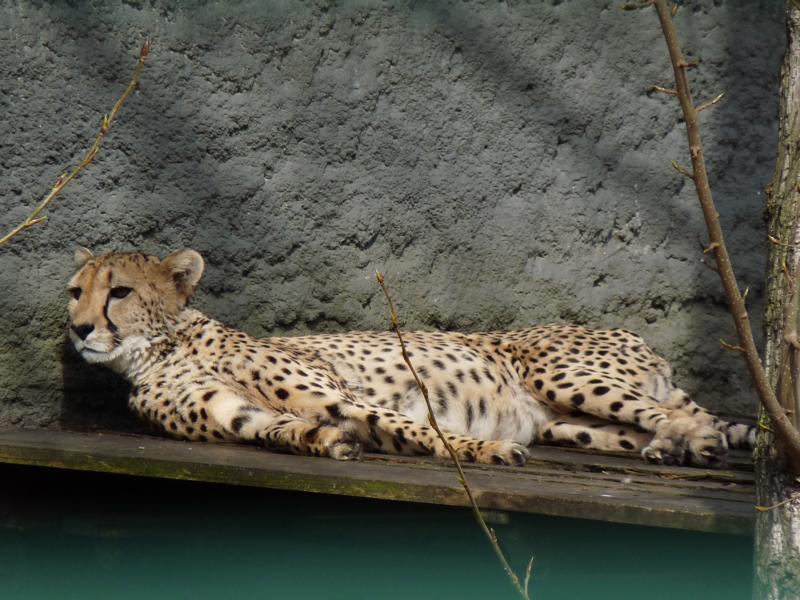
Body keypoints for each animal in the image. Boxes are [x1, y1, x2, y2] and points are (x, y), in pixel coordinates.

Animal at [67, 248, 756, 468]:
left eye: (119, 292)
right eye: (76, 291)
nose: (78, 329)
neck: (159, 350)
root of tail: (641, 340)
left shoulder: (343, 392)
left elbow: (421, 429)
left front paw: (487, 450)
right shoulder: (240, 416)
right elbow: (286, 430)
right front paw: (332, 443)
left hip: (560, 373)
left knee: (678, 413)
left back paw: (695, 442)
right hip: (572, 425)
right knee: (650, 424)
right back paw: (675, 448)